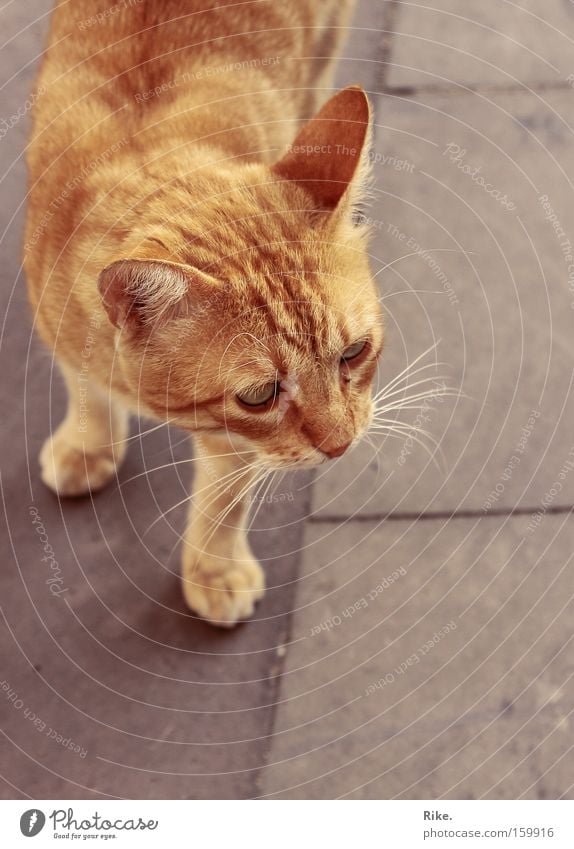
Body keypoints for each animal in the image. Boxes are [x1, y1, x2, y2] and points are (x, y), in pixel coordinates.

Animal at [27, 0, 388, 624]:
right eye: (260, 395)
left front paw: (214, 569)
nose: (342, 445)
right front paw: (88, 442)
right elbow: (83, 385)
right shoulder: (56, 321)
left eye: (355, 352)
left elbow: (224, 501)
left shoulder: (237, 443)